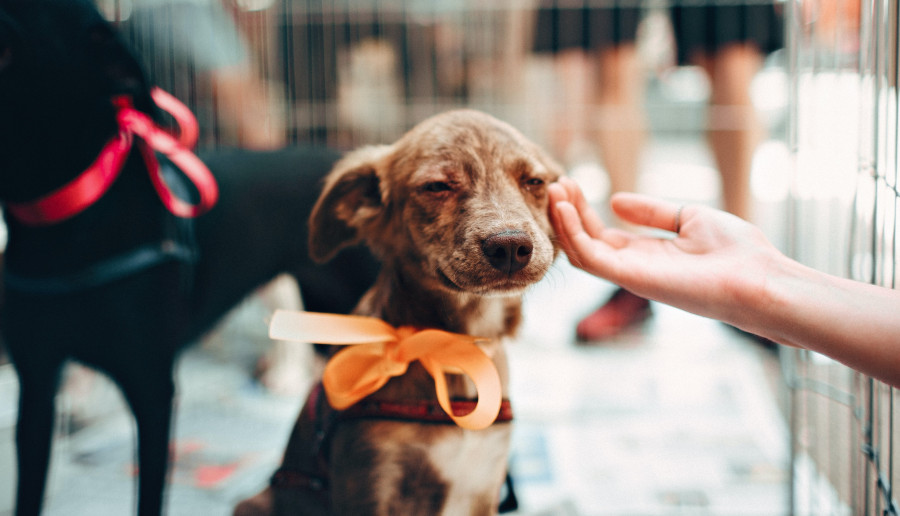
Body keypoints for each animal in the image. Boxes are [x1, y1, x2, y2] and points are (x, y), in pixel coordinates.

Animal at [239, 111, 564, 512]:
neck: (453, 349)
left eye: (534, 182)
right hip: (254, 503)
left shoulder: (483, 486)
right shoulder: (372, 481)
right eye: (437, 186)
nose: (511, 247)